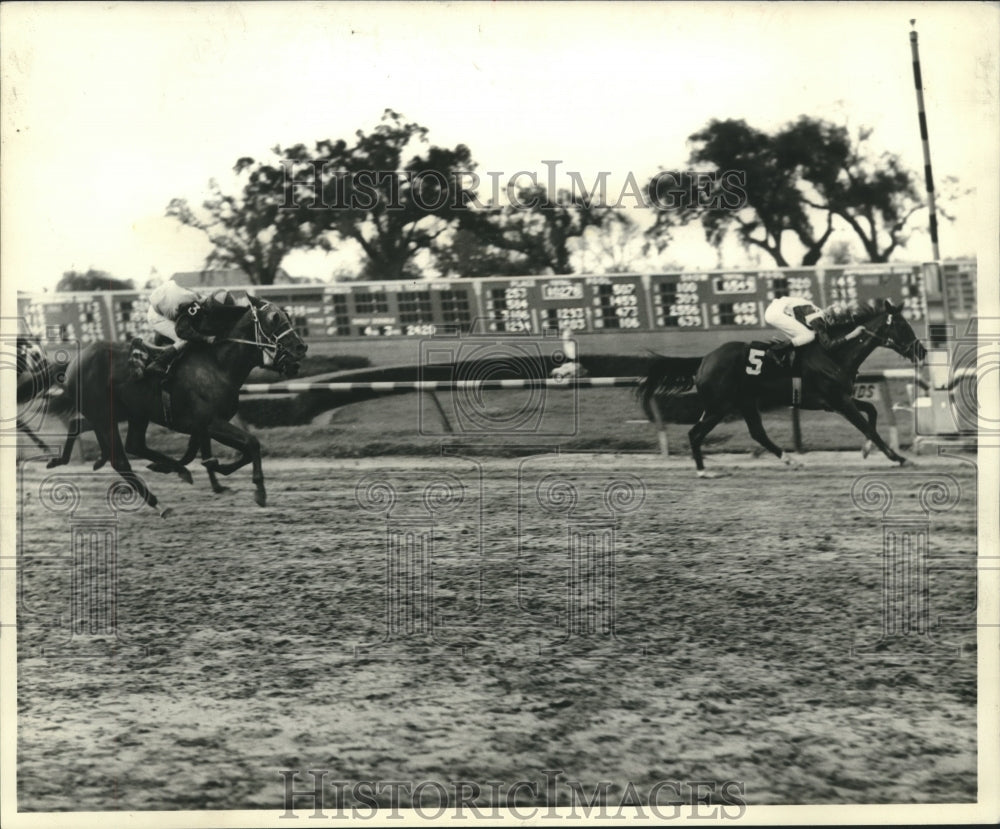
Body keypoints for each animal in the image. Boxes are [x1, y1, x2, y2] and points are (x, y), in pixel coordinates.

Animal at [43, 292, 306, 512]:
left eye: (287, 316)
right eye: (274, 318)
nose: (301, 348)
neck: (217, 363)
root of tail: (74, 362)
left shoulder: (206, 425)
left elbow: (233, 452)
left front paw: (215, 469)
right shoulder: (211, 422)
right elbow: (252, 443)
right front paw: (259, 491)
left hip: (130, 413)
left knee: (124, 441)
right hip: (106, 415)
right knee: (121, 459)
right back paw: (158, 503)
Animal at [640, 300, 928, 478]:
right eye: (902, 325)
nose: (922, 351)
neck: (834, 354)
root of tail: (704, 360)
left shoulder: (839, 399)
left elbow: (872, 413)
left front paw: (867, 450)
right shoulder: (838, 401)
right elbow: (868, 426)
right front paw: (899, 458)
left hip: (744, 403)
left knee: (757, 433)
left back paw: (791, 460)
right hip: (718, 406)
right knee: (695, 434)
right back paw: (702, 471)